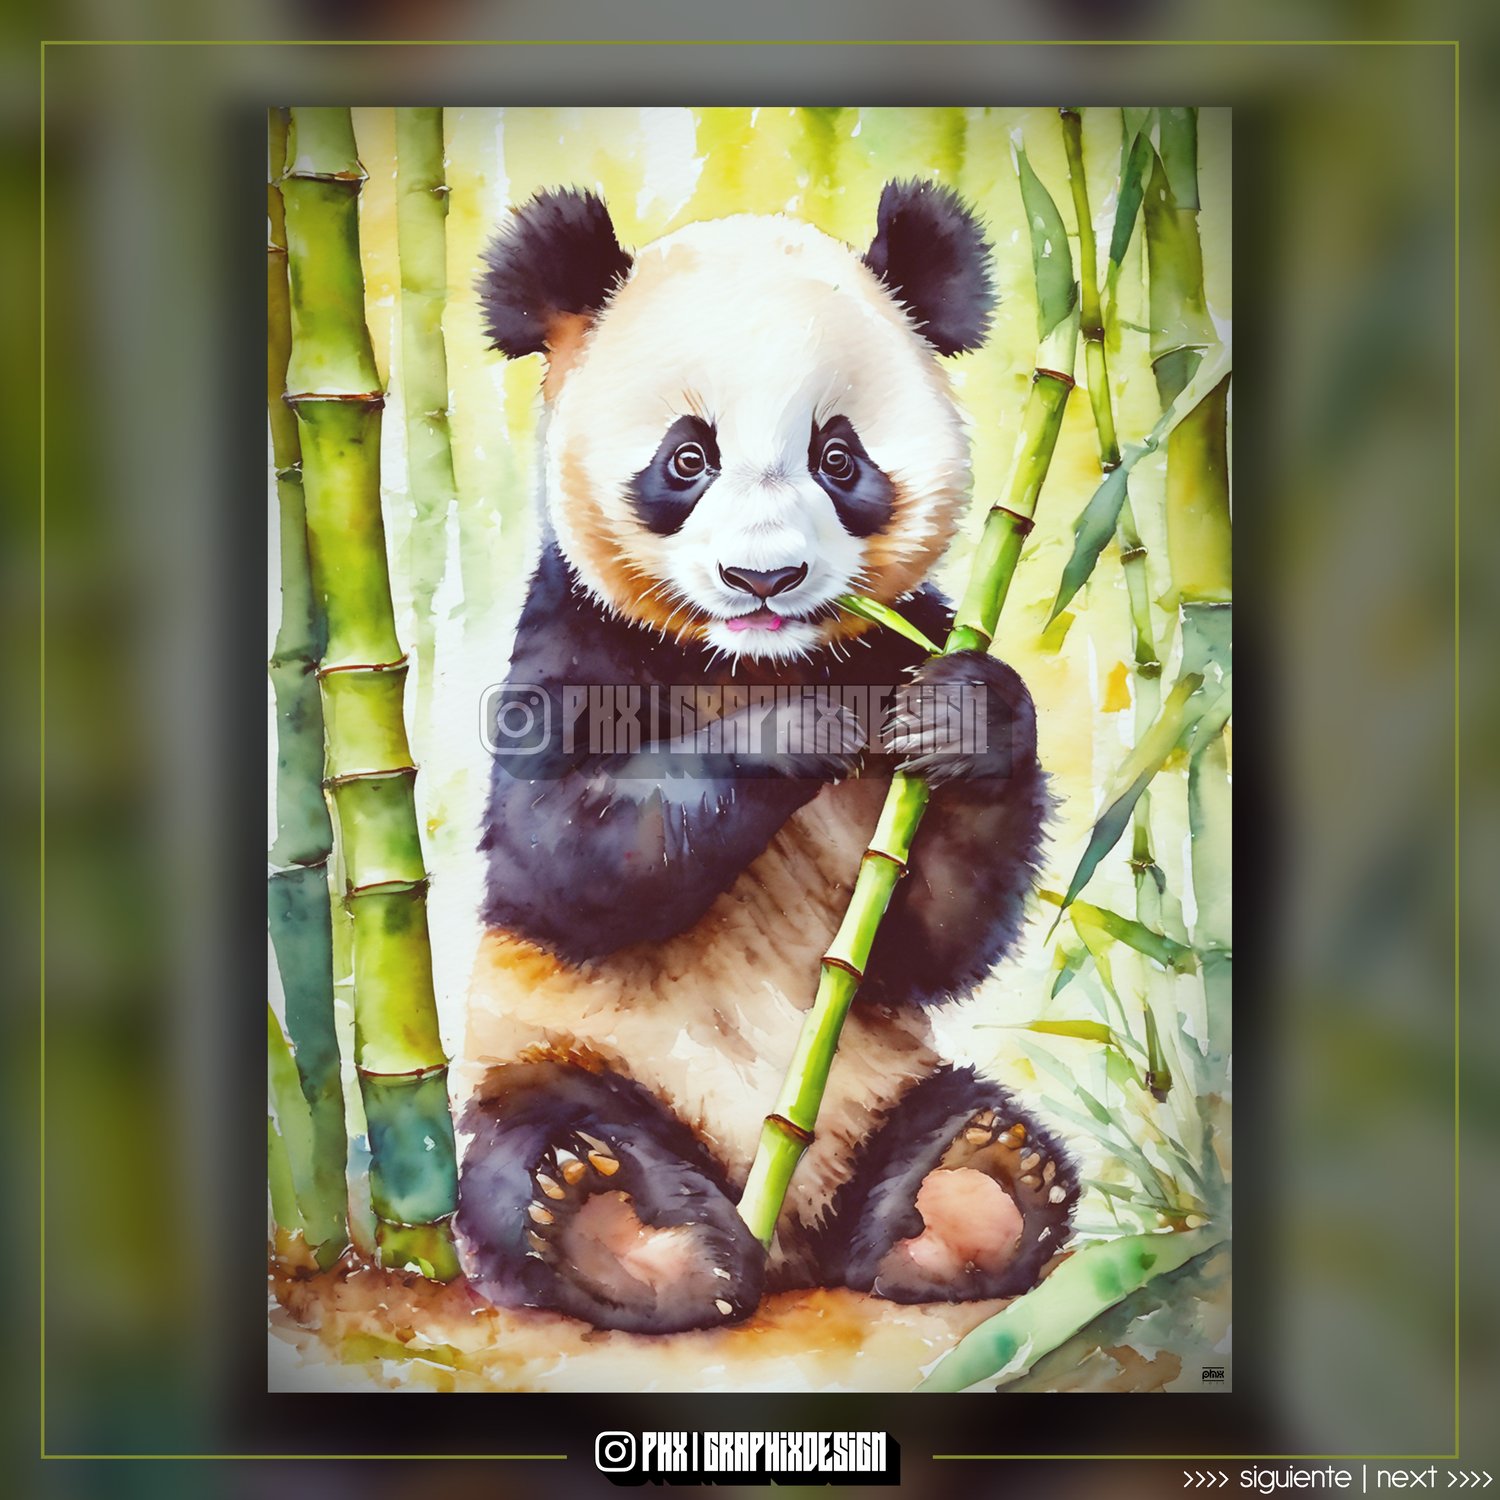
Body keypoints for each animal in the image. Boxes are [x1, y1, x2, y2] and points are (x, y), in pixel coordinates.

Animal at [453, 181, 1079, 1335]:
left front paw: (964, 719)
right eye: (686, 459)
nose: (764, 578)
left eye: (840, 459)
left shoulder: (902, 640)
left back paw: (971, 1194)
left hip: (875, 1082)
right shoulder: (577, 637)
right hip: (557, 1049)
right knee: (532, 1145)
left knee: (943, 1123)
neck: (748, 662)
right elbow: (563, 854)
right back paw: (625, 1236)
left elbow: (925, 937)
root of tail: (782, 1241)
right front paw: (805, 729)